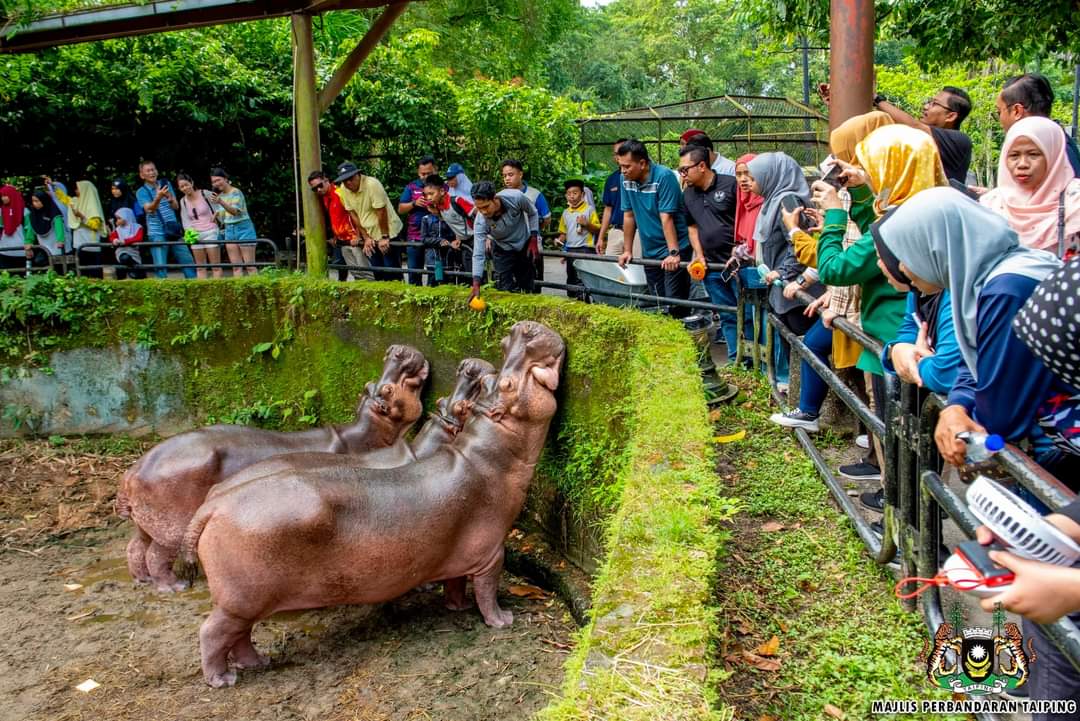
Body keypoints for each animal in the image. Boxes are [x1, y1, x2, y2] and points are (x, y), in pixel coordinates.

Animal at [113, 345, 425, 595]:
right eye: (388, 390)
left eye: (372, 384)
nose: (398, 349)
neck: (371, 429)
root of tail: (130, 473)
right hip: (170, 528)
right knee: (156, 554)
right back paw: (174, 587)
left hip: (147, 521)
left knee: (135, 547)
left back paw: (142, 580)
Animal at [180, 321, 561, 686]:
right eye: (507, 383)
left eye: (490, 381)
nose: (523, 328)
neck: (488, 452)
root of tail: (213, 506)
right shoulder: (493, 553)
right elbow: (487, 592)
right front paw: (502, 621)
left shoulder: (458, 554)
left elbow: (455, 585)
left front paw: (457, 607)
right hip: (241, 599)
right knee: (213, 633)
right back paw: (222, 680)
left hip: (246, 601)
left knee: (239, 636)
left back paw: (257, 663)